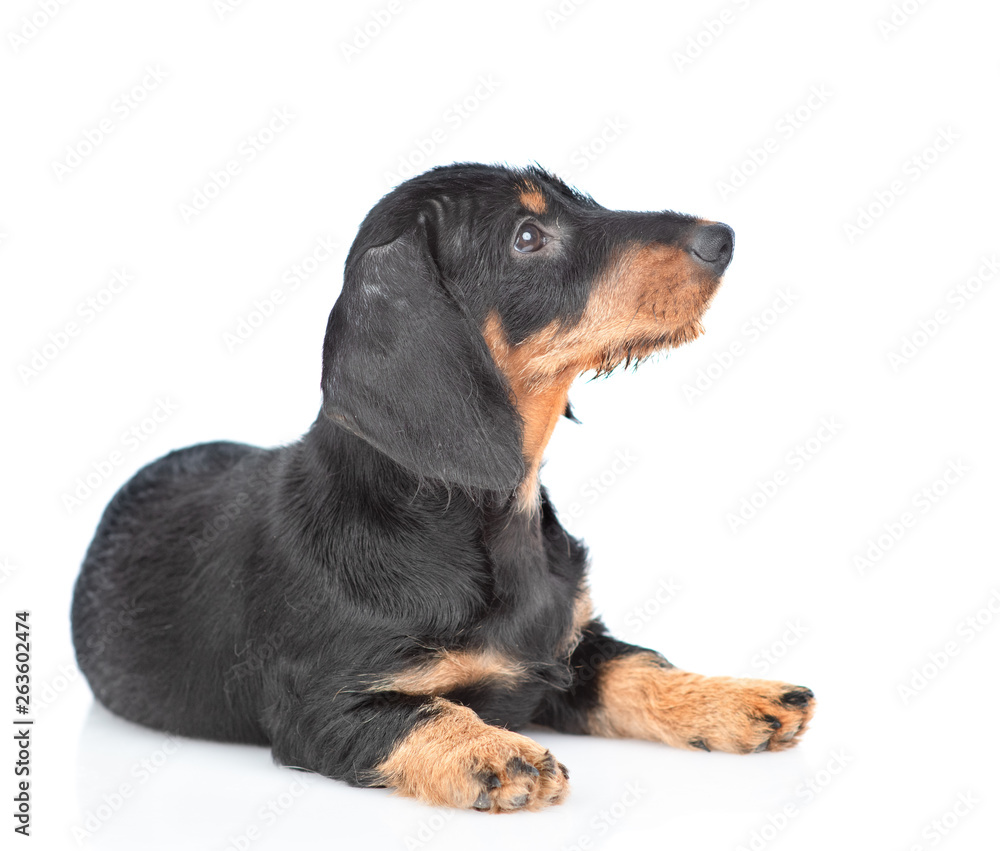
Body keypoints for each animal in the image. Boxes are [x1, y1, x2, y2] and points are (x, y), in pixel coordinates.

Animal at [70, 165, 812, 812]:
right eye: (527, 237)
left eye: (581, 200)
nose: (723, 238)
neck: (483, 522)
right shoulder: (320, 705)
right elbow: (423, 712)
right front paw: (490, 752)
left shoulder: (567, 651)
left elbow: (637, 666)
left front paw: (730, 697)